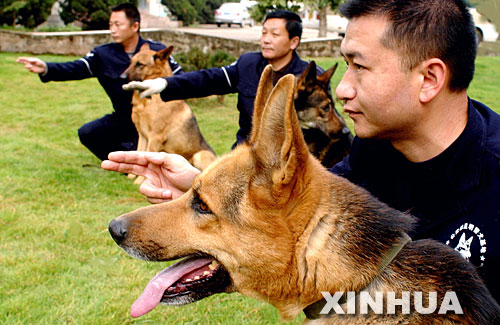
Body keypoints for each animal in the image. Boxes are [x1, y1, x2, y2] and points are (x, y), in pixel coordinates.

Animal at [122, 44, 216, 177]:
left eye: (140, 64)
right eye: (130, 62)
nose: (121, 77)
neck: (147, 102)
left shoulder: (155, 138)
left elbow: (148, 163)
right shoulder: (142, 136)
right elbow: (139, 156)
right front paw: (131, 177)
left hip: (200, 155)